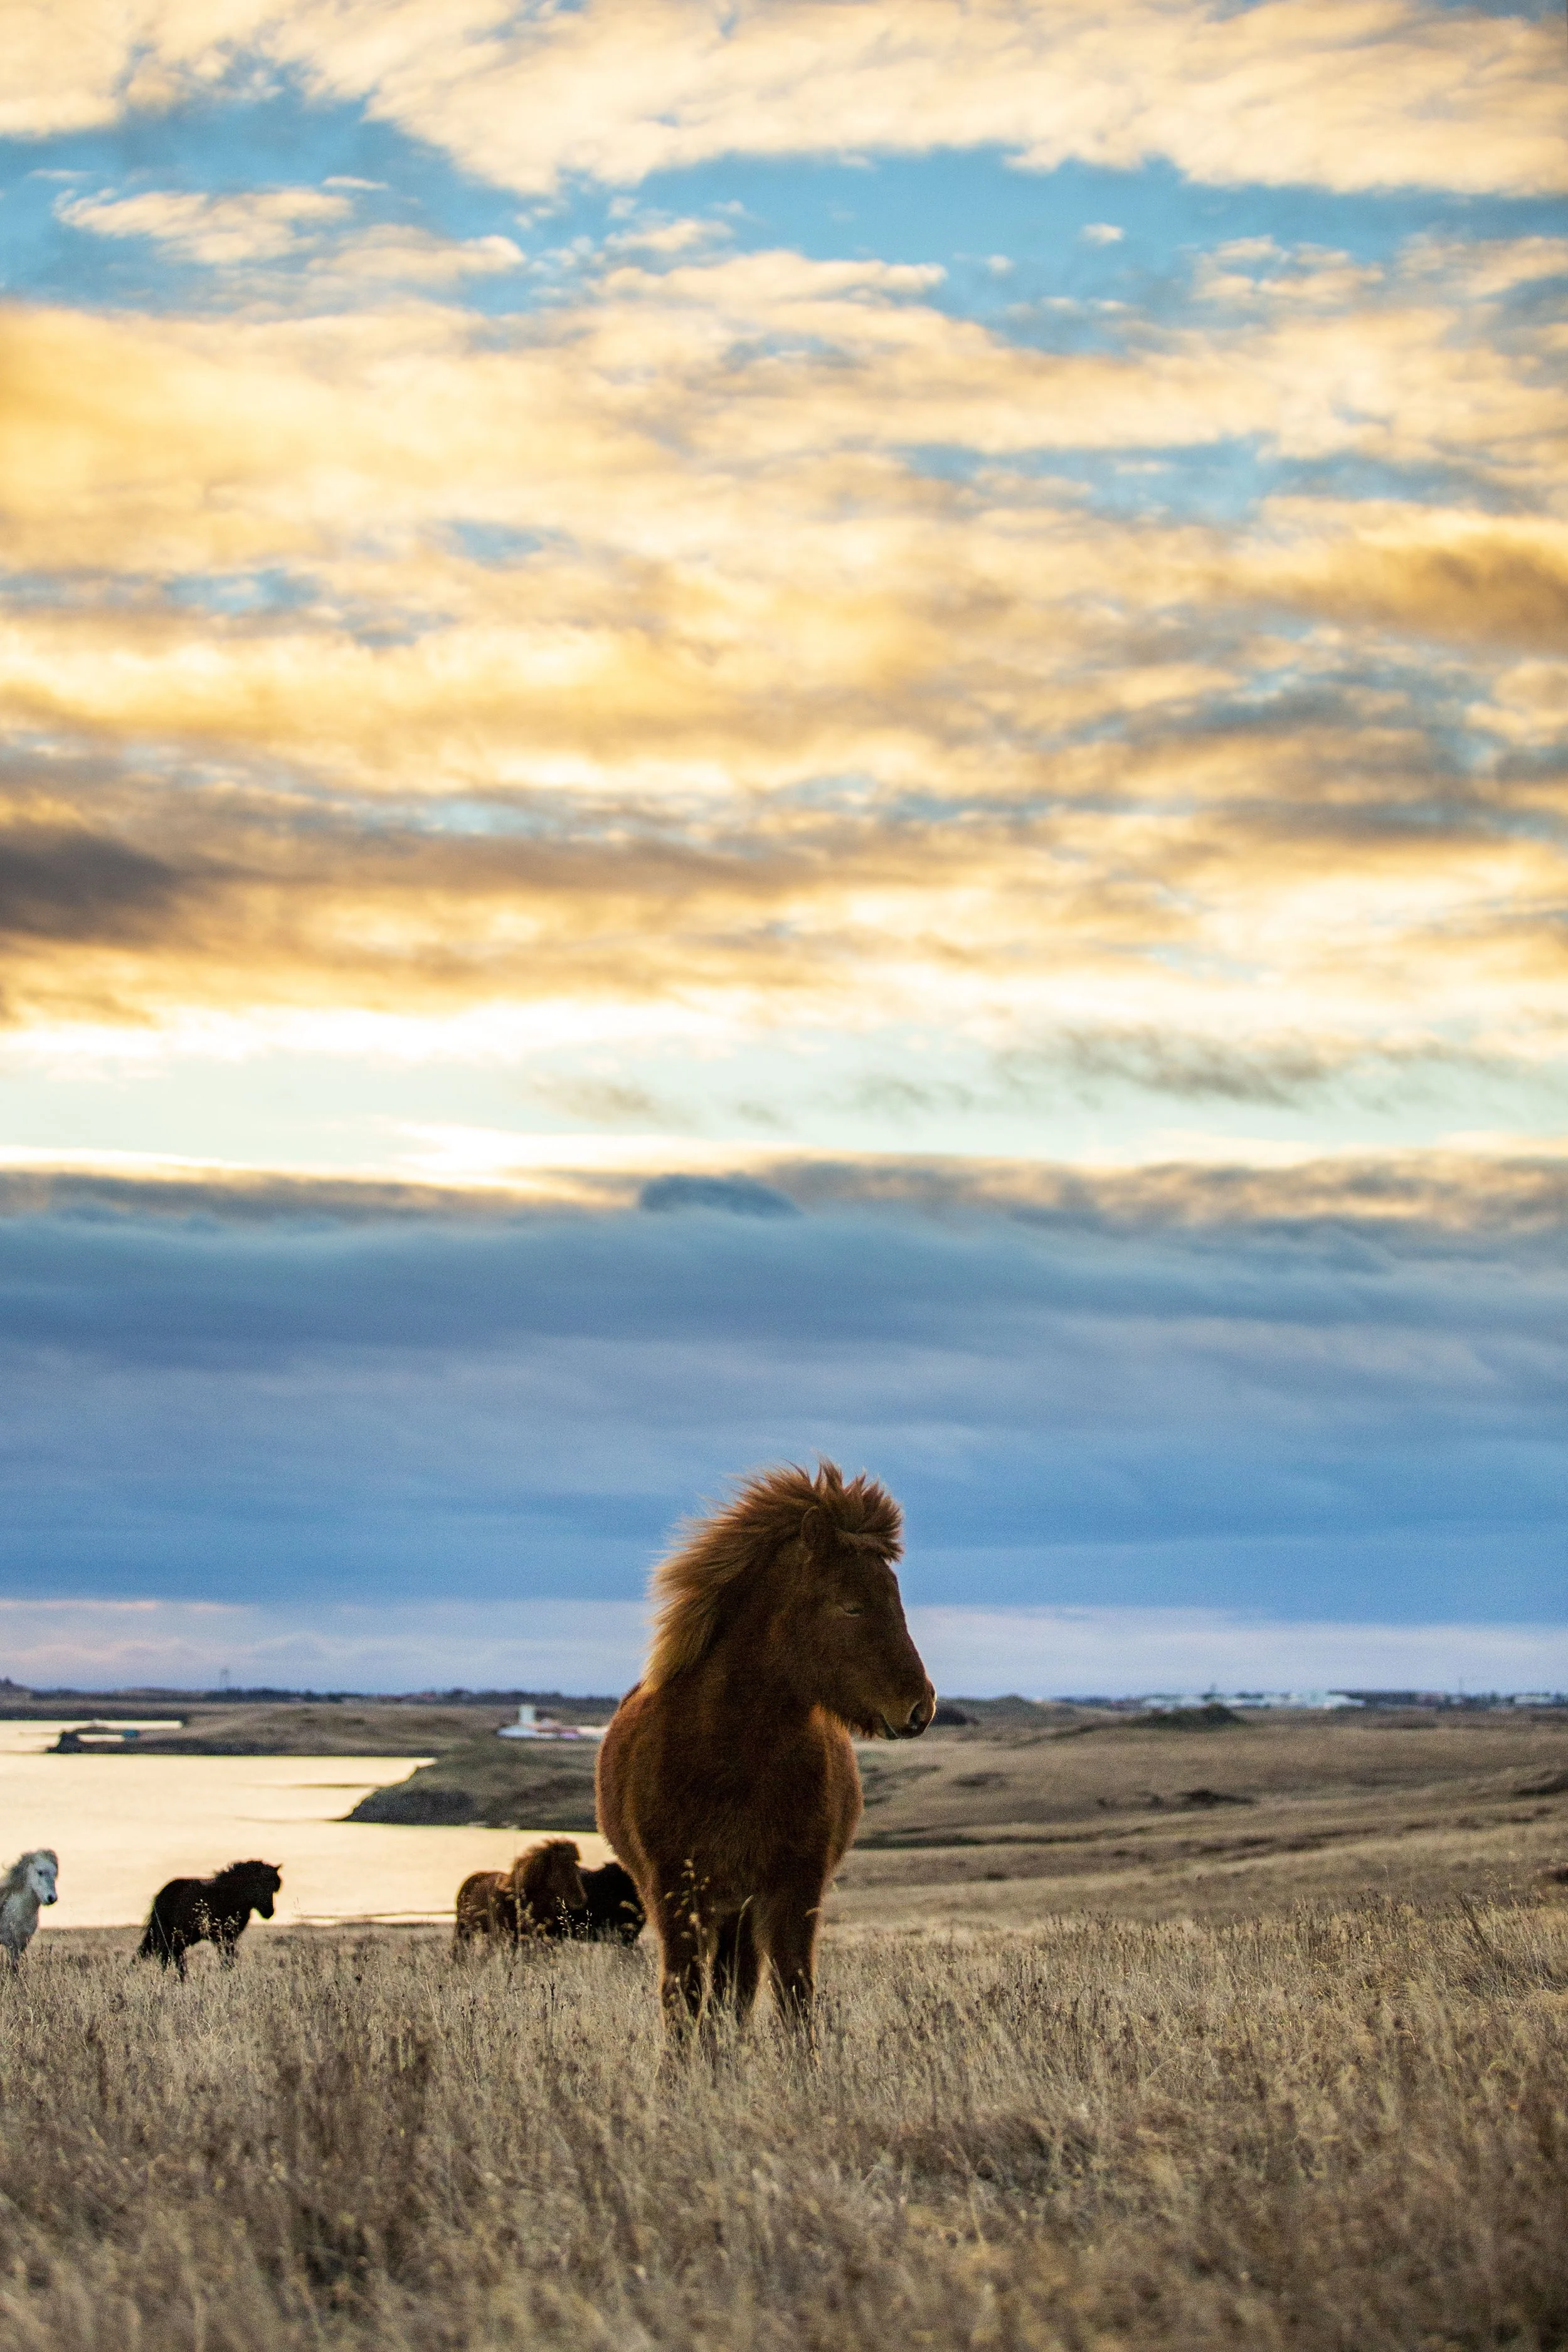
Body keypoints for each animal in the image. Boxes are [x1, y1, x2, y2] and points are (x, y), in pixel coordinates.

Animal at [136, 1860, 282, 1978]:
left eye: (273, 1888)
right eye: (257, 1884)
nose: (269, 1912)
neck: (231, 1896)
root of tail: (160, 1895)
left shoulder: (231, 1937)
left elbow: (228, 1958)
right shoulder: (221, 1936)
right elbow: (225, 1959)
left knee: (174, 1958)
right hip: (168, 1936)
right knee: (166, 1958)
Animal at [596, 1459, 934, 2041]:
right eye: (852, 1605)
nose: (920, 1707)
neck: (730, 1754)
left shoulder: (792, 1893)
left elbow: (793, 1995)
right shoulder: (675, 1896)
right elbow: (682, 1999)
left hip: (740, 1914)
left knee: (735, 1992)